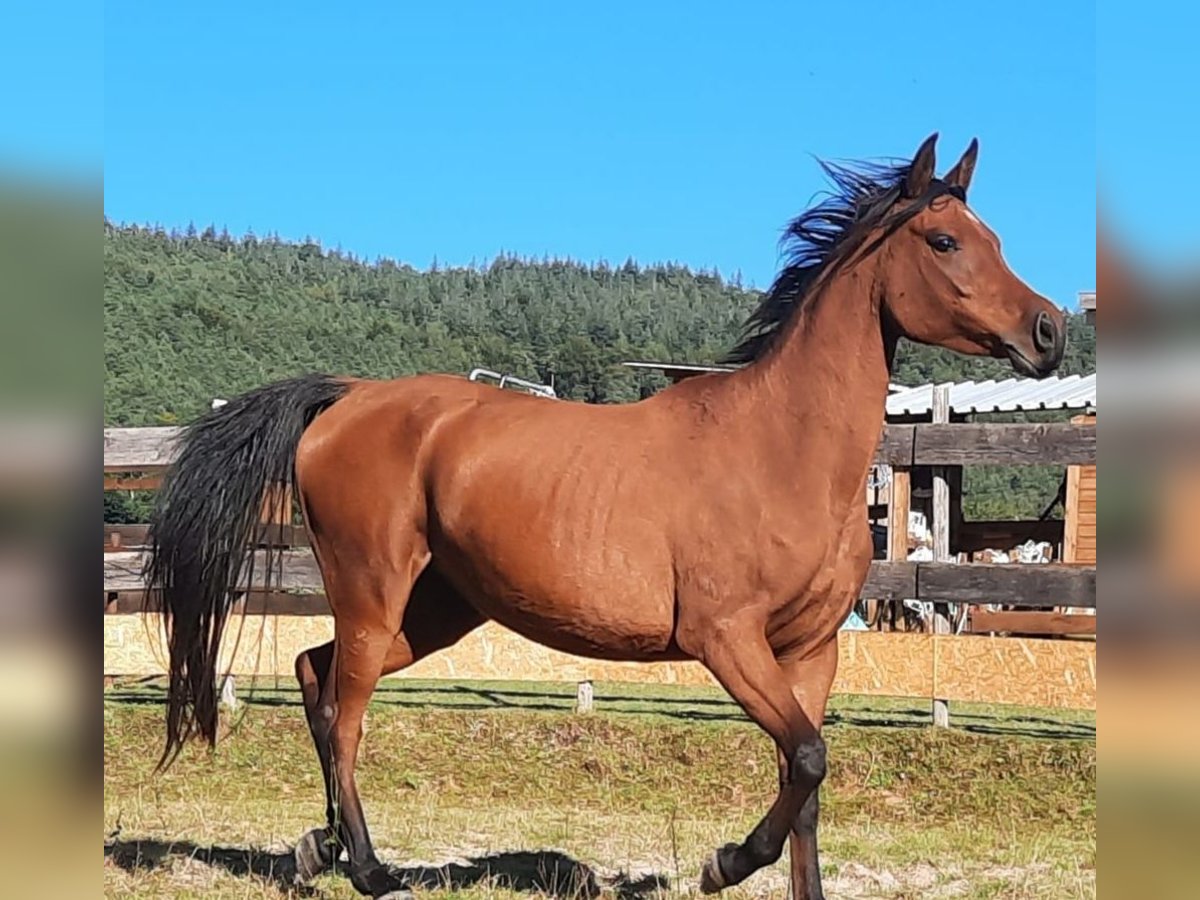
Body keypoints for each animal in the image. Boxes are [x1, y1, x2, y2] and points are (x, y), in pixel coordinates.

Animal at [146, 133, 1066, 900]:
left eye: (993, 237)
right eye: (944, 242)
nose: (1049, 330)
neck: (779, 450)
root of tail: (348, 399)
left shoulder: (809, 653)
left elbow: (803, 779)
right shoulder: (725, 640)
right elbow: (807, 758)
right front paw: (721, 863)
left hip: (437, 609)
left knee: (315, 673)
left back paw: (321, 849)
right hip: (374, 592)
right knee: (344, 712)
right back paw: (371, 871)